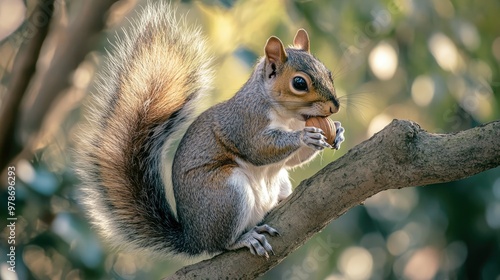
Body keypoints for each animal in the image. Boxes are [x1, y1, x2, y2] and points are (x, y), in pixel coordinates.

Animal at [74, 2, 344, 260]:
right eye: (299, 83)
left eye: (328, 72)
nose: (335, 107)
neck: (288, 118)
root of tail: (194, 238)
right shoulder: (242, 123)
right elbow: (258, 150)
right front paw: (304, 137)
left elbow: (290, 161)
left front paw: (338, 132)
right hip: (226, 194)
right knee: (222, 243)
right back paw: (245, 239)